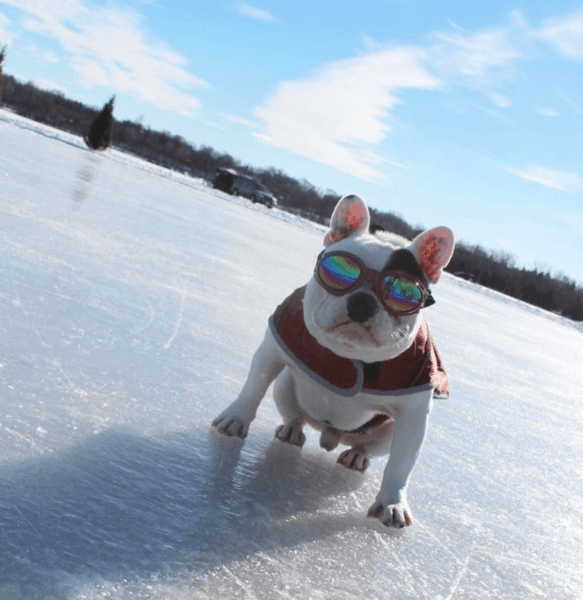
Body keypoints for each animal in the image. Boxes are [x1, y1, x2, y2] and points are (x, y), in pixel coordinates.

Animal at [212, 195, 454, 528]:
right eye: (340, 272)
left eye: (402, 293)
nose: (362, 301)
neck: (351, 354)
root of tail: (330, 435)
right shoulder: (273, 350)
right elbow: (253, 388)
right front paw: (235, 419)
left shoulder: (414, 414)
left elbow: (401, 465)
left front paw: (392, 503)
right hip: (285, 388)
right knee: (292, 413)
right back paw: (291, 431)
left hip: (386, 433)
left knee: (368, 448)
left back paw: (357, 456)